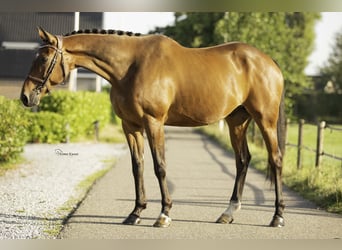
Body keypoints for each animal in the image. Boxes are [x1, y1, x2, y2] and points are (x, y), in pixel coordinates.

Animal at [19, 27, 286, 229]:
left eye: (44, 59)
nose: (25, 97)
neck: (130, 66)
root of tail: (269, 62)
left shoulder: (153, 122)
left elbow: (160, 167)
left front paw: (164, 214)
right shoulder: (131, 126)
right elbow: (138, 167)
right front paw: (136, 213)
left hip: (265, 119)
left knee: (275, 159)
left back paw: (277, 217)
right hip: (237, 121)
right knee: (242, 160)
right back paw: (228, 213)